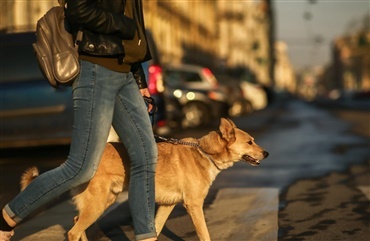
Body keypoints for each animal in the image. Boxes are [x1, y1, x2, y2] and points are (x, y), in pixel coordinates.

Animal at [21, 117, 268, 240]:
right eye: (250, 142)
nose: (266, 154)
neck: (204, 153)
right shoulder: (194, 205)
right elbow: (204, 234)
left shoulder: (168, 205)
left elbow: (156, 229)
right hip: (98, 204)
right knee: (73, 231)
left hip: (103, 201)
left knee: (76, 223)